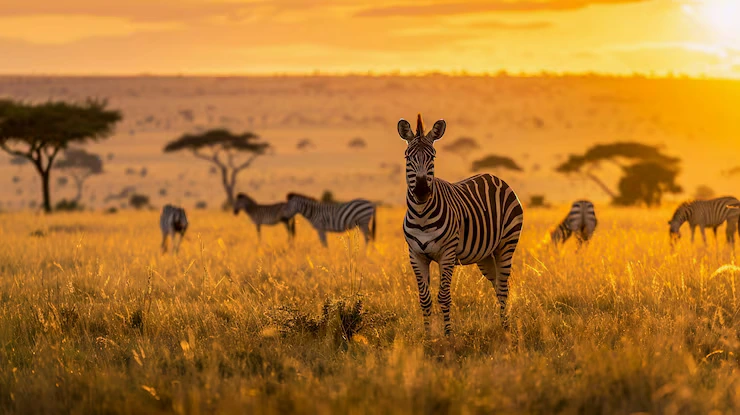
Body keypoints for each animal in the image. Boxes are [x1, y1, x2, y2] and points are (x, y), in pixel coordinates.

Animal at [399, 114, 524, 335]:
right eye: (408, 157)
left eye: (433, 157)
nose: (421, 192)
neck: (421, 215)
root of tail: (494, 176)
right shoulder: (415, 255)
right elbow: (424, 299)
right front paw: (428, 337)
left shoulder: (447, 254)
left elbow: (444, 297)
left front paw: (448, 336)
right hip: (485, 255)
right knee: (497, 283)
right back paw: (502, 327)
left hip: (506, 244)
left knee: (503, 288)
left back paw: (506, 331)